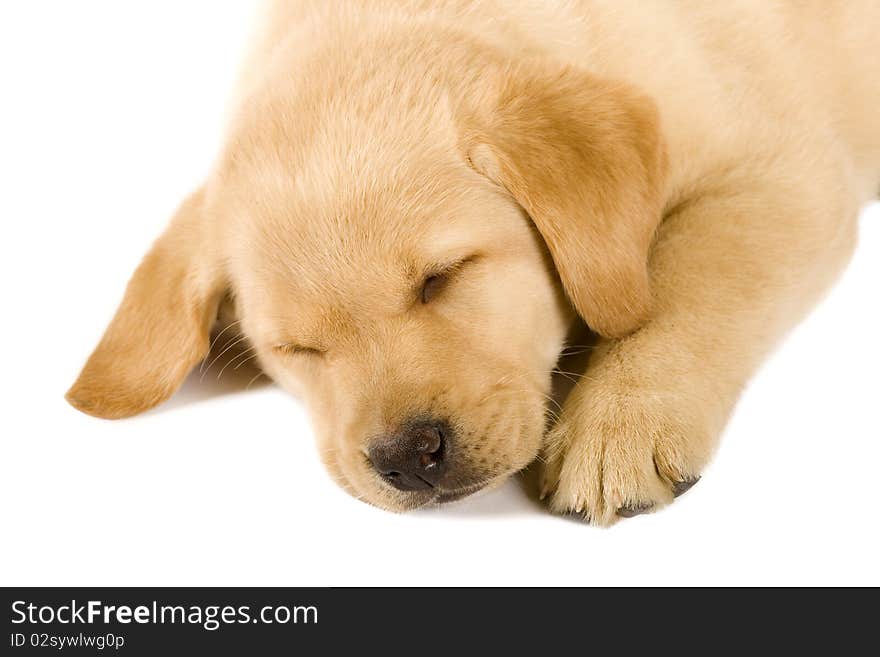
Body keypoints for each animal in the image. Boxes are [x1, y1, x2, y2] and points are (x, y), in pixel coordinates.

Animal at [67, 0, 880, 524]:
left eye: (442, 278)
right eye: (296, 349)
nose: (407, 456)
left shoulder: (788, 176)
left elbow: (689, 285)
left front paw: (619, 423)